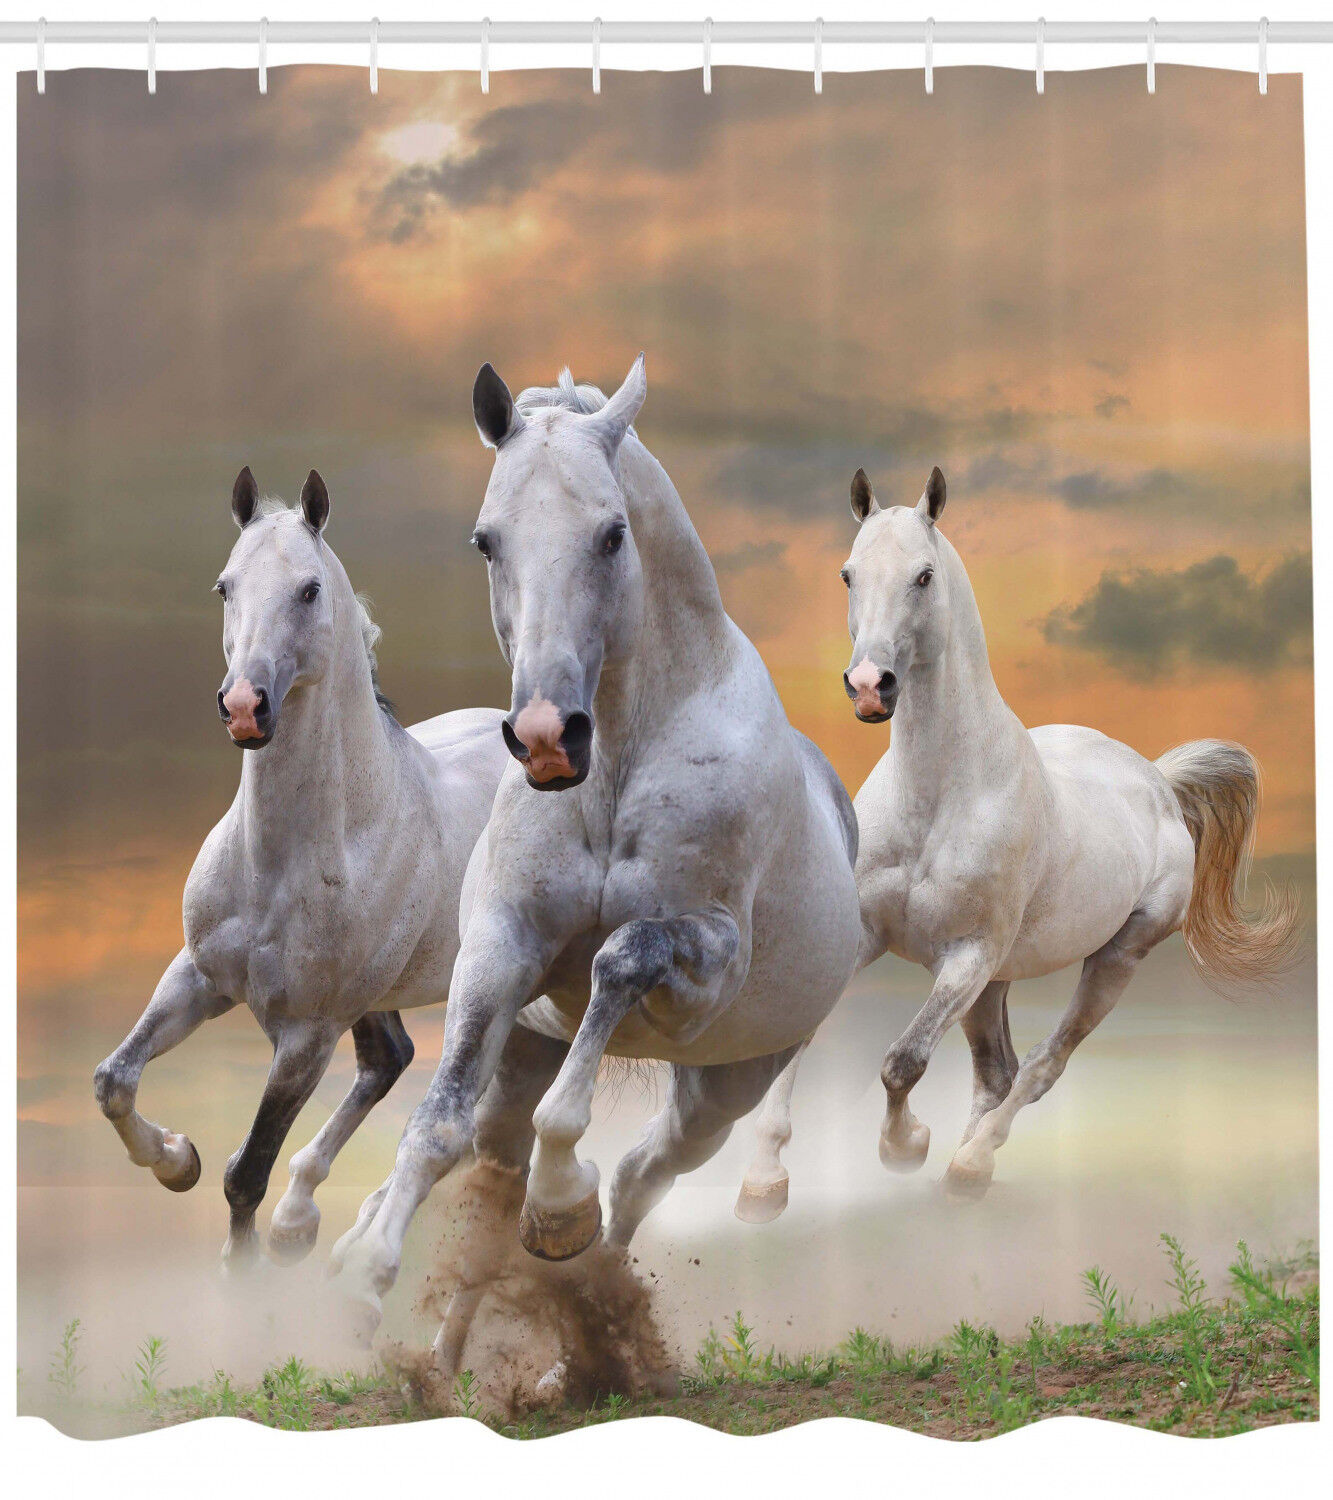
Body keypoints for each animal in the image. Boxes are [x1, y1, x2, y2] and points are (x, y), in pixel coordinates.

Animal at [93, 468, 510, 1265]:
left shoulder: (307, 1036)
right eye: (224, 586)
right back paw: (302, 1223)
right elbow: (114, 1081)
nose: (244, 707)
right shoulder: (198, 978)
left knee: (460, 1110)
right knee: (391, 1060)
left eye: (310, 589)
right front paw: (176, 1162)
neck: (281, 864)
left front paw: (243, 1272)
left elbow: (246, 1172)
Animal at [330, 358, 862, 1363]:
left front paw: (558, 1206)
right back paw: (442, 1356)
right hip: (525, 1050)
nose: (546, 738)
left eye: (612, 534)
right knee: (492, 1170)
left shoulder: (705, 965)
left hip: (724, 1085)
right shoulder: (499, 949)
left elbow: (619, 961)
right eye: (485, 540)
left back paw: (584, 1305)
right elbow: (434, 1127)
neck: (617, 763)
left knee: (639, 1178)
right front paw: (365, 1283)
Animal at [741, 464, 1301, 1206]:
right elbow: (801, 1035)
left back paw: (969, 1163)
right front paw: (763, 1178)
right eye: (847, 573)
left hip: (1112, 957)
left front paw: (903, 1146)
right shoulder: (867, 935)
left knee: (1040, 1065)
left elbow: (902, 1061)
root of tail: (1155, 779)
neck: (939, 797)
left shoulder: (967, 954)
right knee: (996, 1071)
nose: (868, 687)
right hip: (997, 980)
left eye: (923, 575)